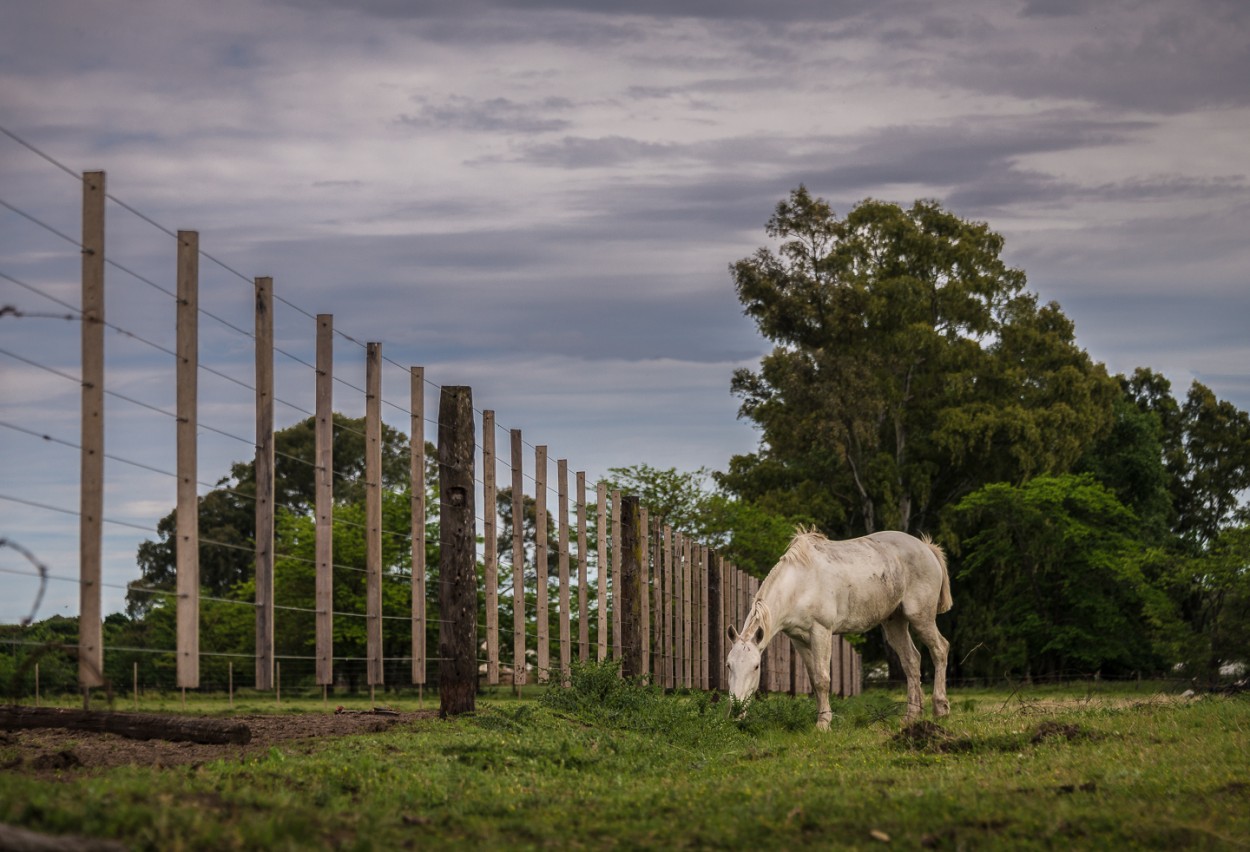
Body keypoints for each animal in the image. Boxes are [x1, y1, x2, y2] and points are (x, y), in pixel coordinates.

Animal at [725, 527, 945, 724]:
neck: (801, 584)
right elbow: (814, 680)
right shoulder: (798, 640)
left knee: (940, 650)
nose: (735, 710)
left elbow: (823, 679)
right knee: (912, 661)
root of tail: (926, 548)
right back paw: (912, 715)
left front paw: (823, 723)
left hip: (921, 618)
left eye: (756, 666)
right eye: (728, 665)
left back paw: (940, 709)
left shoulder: (821, 632)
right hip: (895, 622)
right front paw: (822, 717)